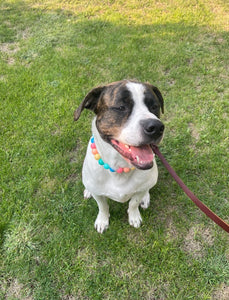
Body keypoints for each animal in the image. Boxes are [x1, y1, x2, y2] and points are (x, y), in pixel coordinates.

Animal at [74, 79, 165, 232]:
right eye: (121, 107)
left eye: (154, 106)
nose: (157, 127)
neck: (119, 167)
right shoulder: (98, 194)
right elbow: (103, 206)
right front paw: (102, 220)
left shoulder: (139, 189)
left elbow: (133, 203)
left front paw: (134, 216)